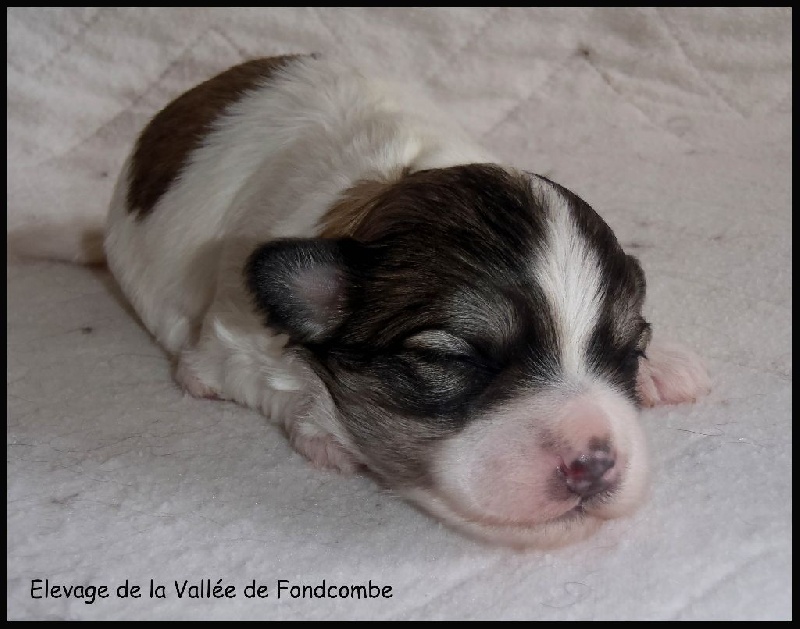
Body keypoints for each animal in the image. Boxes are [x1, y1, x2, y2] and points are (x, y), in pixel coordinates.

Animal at [88, 54, 709, 548]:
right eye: (451, 358)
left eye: (629, 353)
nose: (594, 464)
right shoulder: (224, 340)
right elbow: (238, 378)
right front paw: (322, 432)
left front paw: (665, 365)